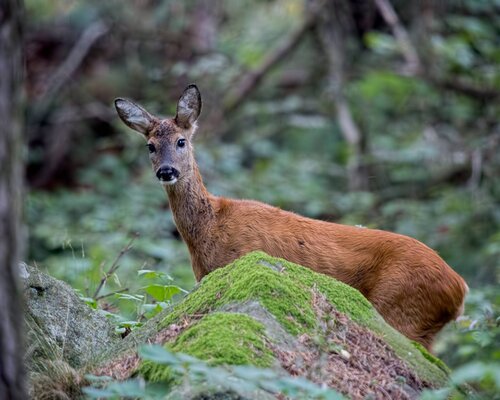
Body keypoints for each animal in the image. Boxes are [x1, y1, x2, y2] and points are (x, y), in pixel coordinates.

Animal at [114, 84, 468, 350]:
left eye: (181, 141)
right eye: (149, 146)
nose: (166, 171)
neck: (209, 227)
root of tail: (460, 287)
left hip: (402, 311)